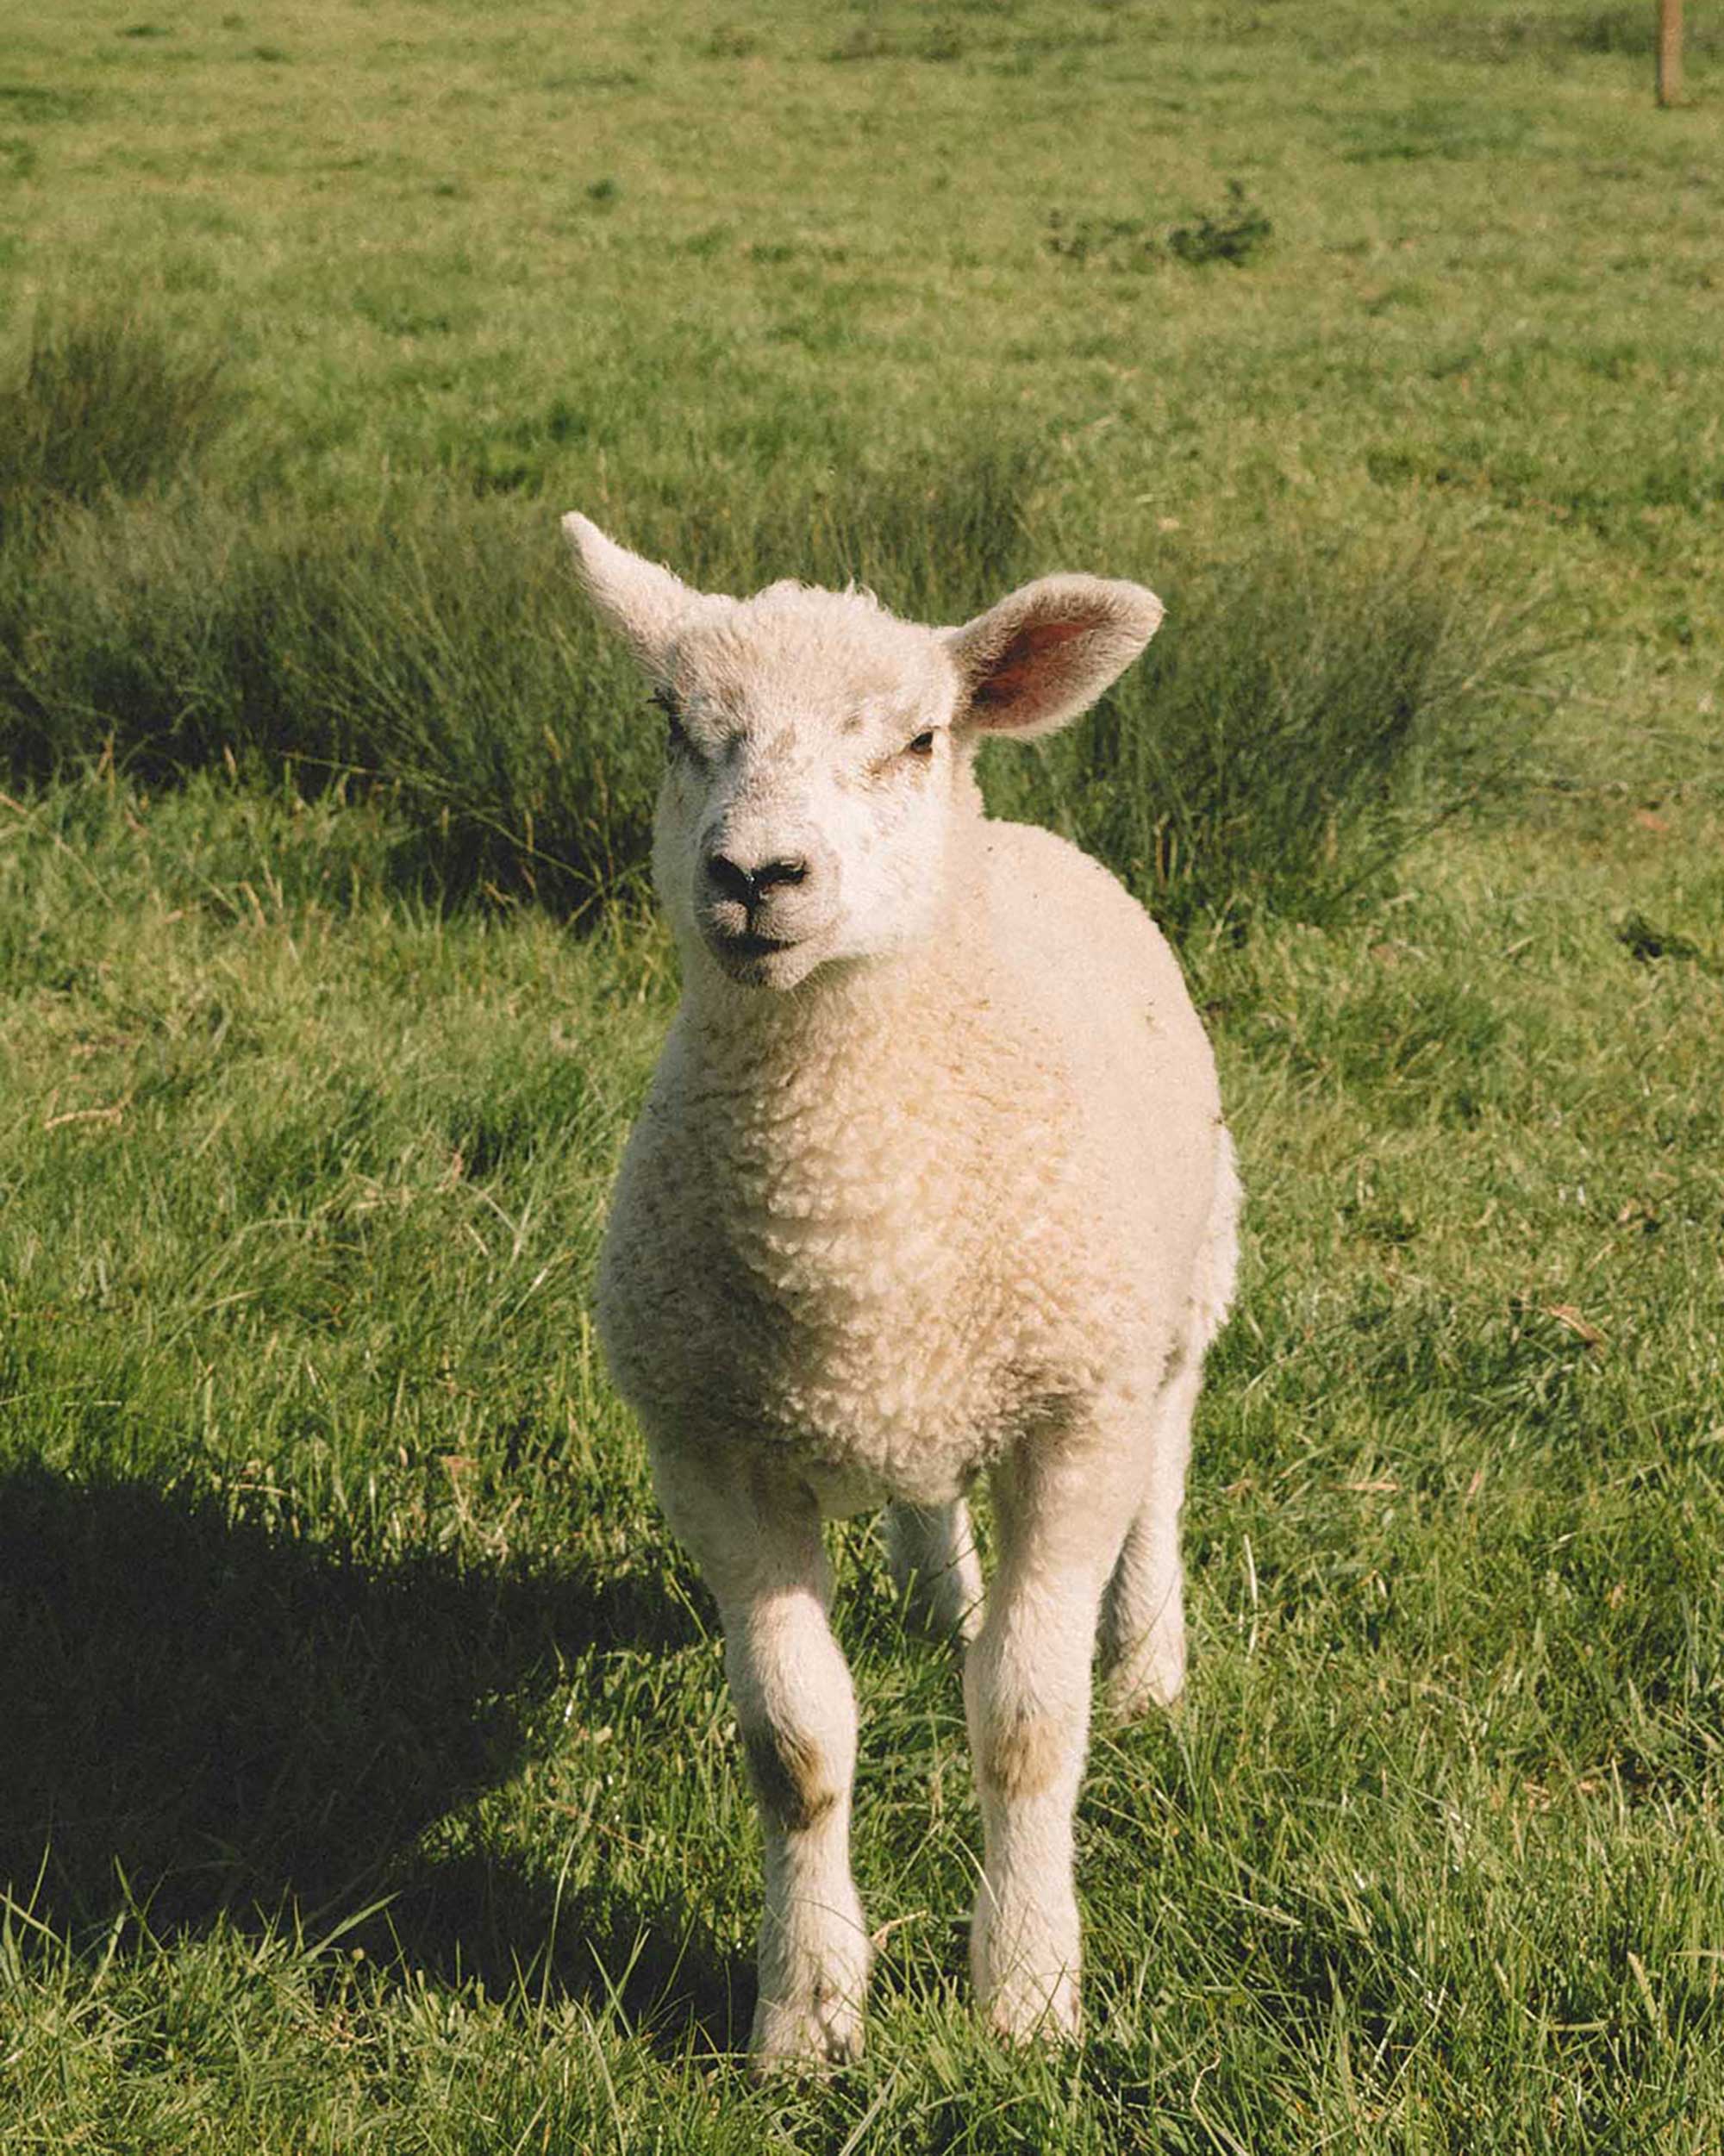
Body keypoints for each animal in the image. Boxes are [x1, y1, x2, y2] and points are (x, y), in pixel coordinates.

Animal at [565, 504, 1241, 2069]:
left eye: (919, 739)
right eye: (674, 722)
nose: (756, 878)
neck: (847, 1224)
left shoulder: (1074, 1418)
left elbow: (1031, 1727)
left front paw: (1030, 1994)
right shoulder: (709, 1444)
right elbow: (796, 1746)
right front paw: (806, 2014)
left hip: (1181, 1291)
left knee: (1167, 1472)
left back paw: (1151, 1660)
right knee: (931, 1496)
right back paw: (944, 1599)